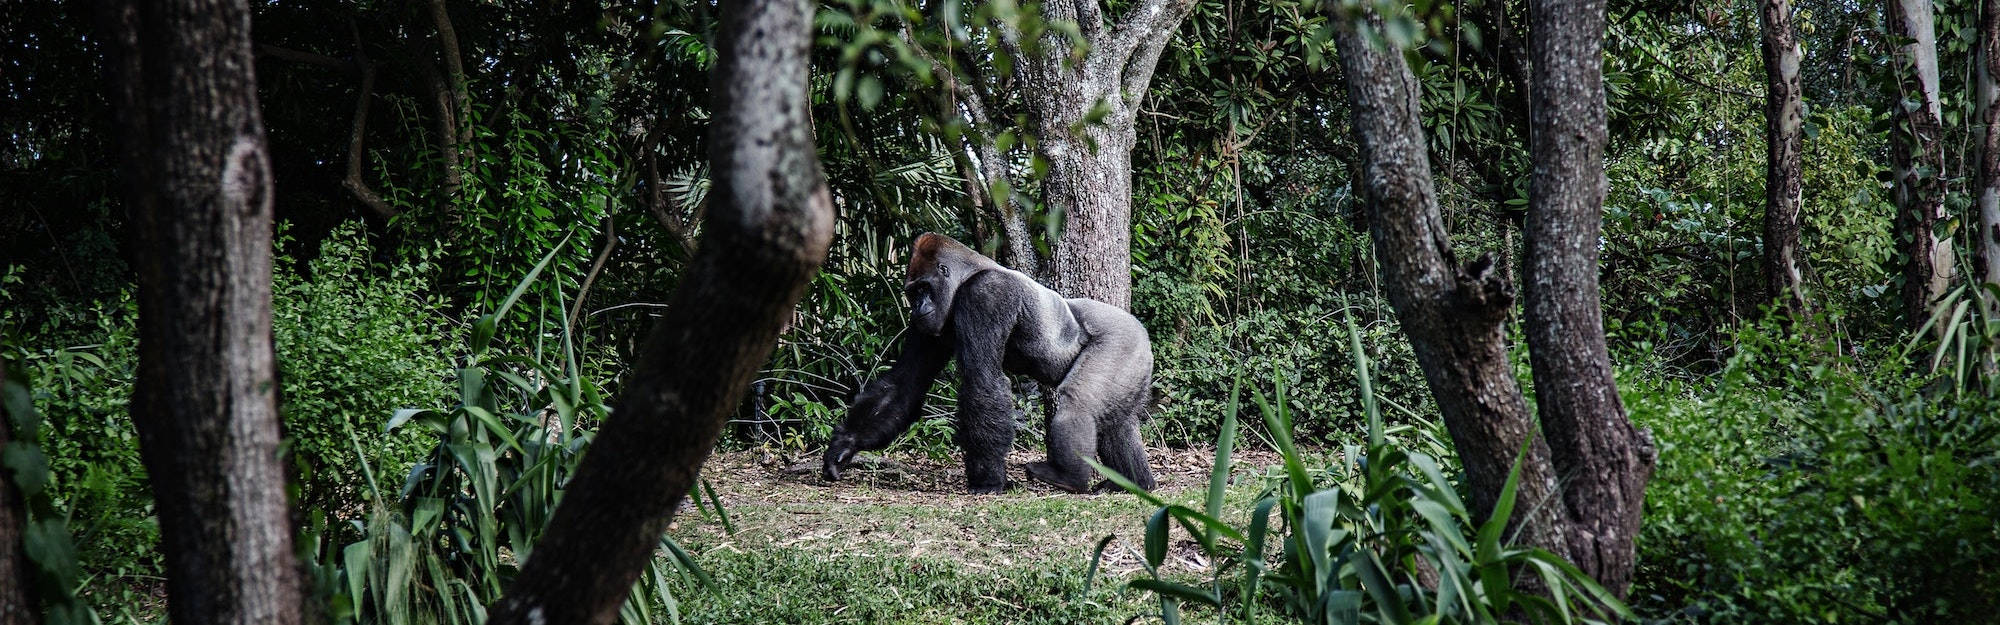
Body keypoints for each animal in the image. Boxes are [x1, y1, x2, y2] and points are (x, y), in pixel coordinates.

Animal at [822, 233, 1157, 494]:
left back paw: (1069, 477)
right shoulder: (929, 325)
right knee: (1116, 422)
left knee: (1078, 401)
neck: (967, 274)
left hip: (1122, 340)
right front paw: (845, 444)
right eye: (912, 292)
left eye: (924, 288)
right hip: (1134, 358)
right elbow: (905, 383)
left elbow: (981, 380)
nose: (917, 308)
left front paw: (988, 480)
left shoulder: (986, 295)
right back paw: (1134, 482)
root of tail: (1141, 330)